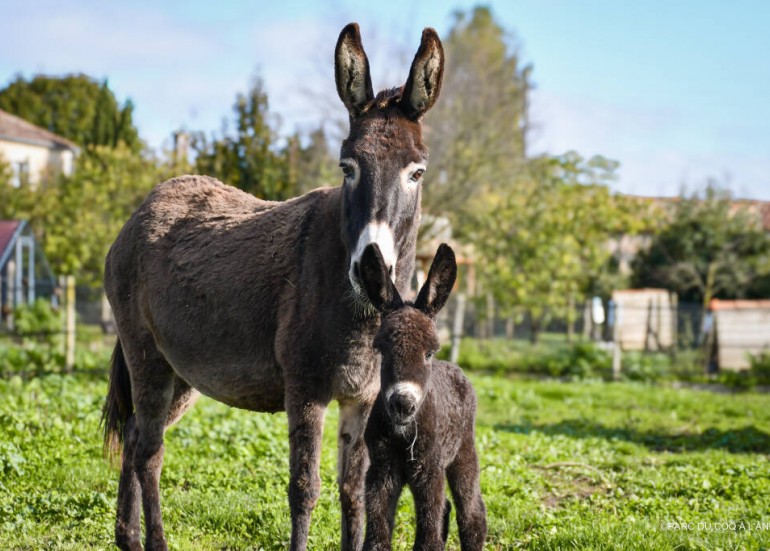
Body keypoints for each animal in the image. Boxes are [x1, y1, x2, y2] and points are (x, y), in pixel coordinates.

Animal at [356, 245, 484, 551]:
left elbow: (428, 536)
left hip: (463, 451)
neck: (404, 435)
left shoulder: (429, 471)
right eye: (381, 350)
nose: (403, 404)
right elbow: (377, 535)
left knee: (471, 513)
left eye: (429, 352)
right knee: (447, 509)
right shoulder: (381, 472)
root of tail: (454, 367)